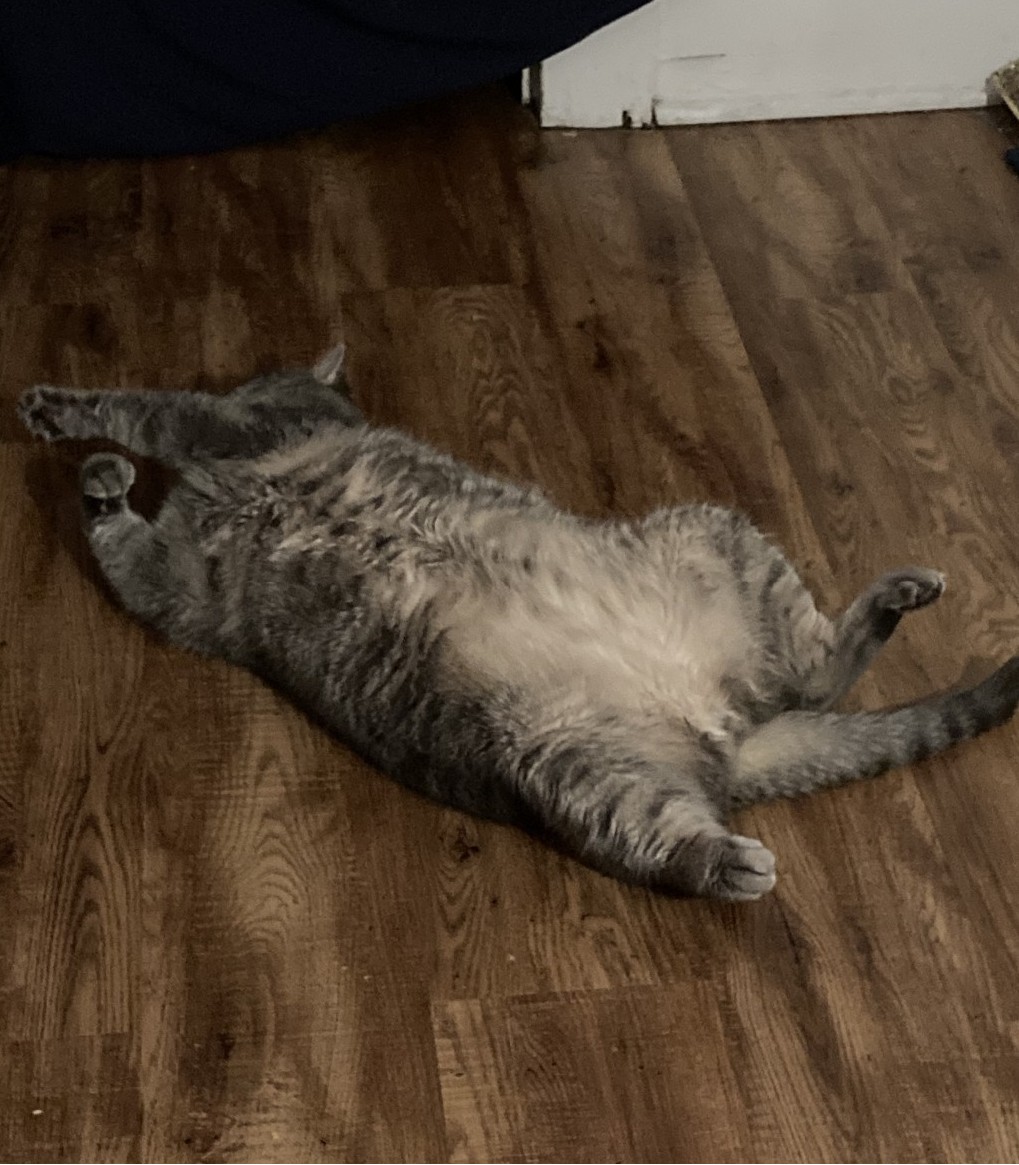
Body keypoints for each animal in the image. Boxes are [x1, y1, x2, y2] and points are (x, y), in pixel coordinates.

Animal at [15, 349, 1019, 904]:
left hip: (710, 539)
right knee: (680, 813)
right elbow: (122, 543)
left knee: (818, 670)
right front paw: (100, 482)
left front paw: (67, 423)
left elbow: (145, 406)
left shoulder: (222, 445)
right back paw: (719, 862)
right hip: (579, 764)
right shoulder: (183, 591)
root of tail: (724, 731)